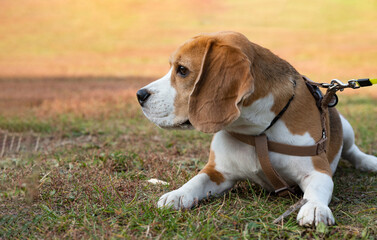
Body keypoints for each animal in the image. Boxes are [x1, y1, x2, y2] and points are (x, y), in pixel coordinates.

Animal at [136, 31, 376, 226]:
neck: (258, 132)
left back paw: (369, 162)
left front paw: (315, 207)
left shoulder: (317, 170)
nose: (139, 95)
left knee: (352, 151)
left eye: (182, 70)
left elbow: (317, 190)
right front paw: (178, 194)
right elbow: (196, 180)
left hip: (346, 128)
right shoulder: (217, 172)